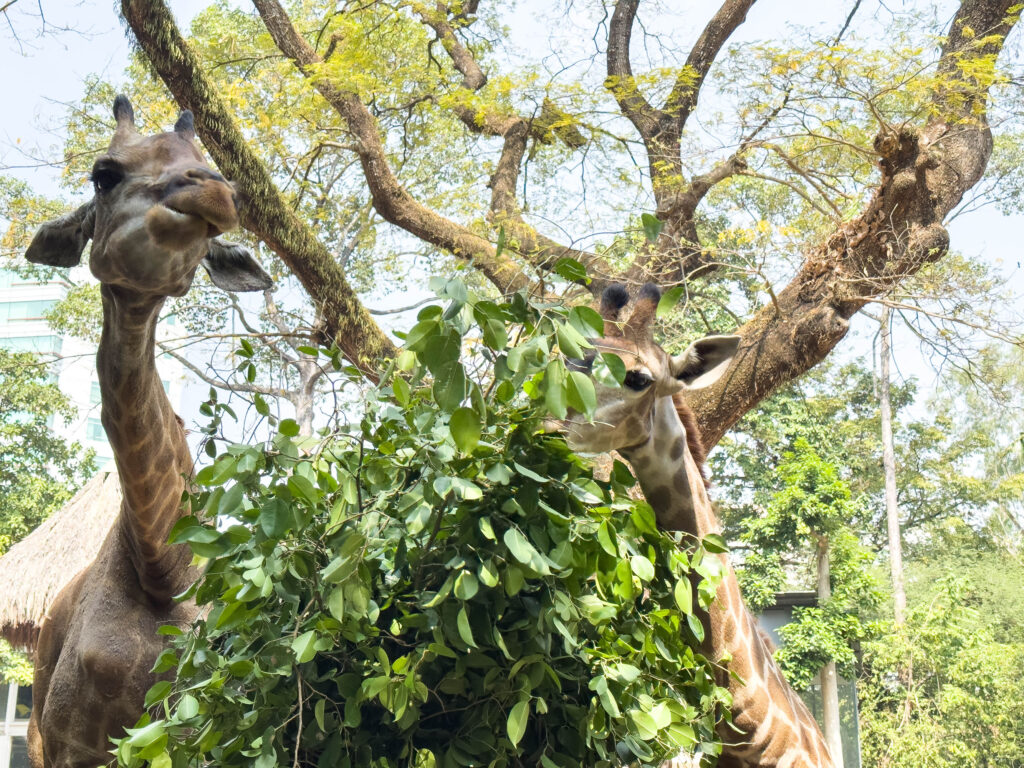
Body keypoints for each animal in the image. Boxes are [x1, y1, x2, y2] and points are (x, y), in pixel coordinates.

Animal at [22, 95, 272, 768]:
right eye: (103, 174)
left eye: (213, 165)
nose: (213, 193)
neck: (165, 564)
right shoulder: (72, 744)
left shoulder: (206, 729)